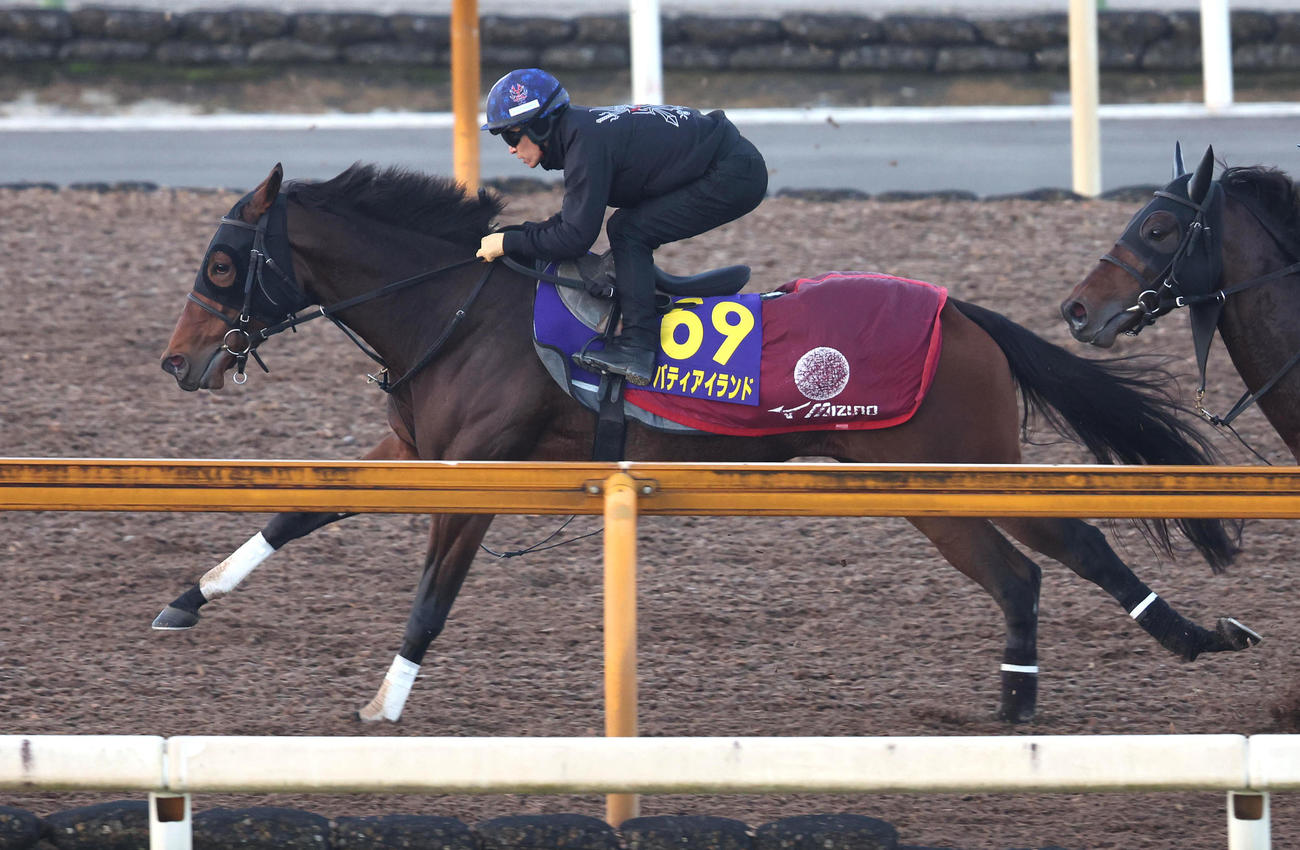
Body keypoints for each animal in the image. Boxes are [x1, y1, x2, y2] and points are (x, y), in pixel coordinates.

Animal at [157, 161, 1259, 725]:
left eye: (221, 265)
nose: (177, 363)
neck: (458, 308)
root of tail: (966, 313)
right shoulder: (420, 455)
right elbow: (300, 508)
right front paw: (187, 599)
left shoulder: (478, 475)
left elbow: (433, 593)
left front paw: (384, 706)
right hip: (923, 483)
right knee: (1031, 567)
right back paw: (1043, 693)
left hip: (956, 463)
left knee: (1068, 546)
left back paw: (1147, 653)